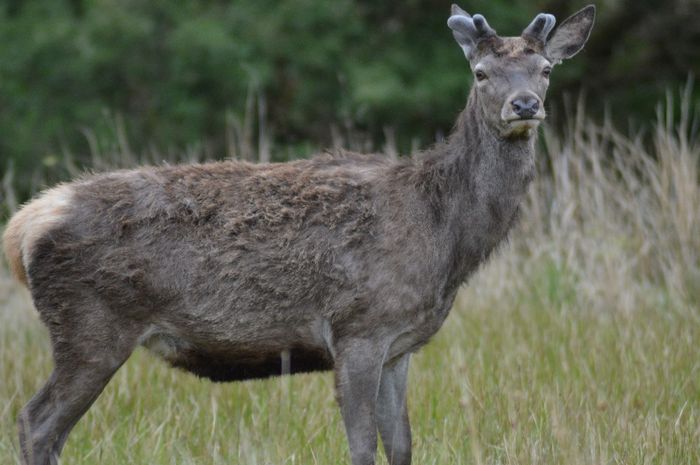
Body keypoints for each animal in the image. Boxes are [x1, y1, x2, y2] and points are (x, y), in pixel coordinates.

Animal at [3, 4, 594, 465]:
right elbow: (363, 447)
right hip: (91, 327)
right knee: (36, 422)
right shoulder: (357, 327)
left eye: (545, 69)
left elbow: (402, 445)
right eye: (480, 73)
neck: (445, 238)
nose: (524, 105)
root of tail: (24, 224)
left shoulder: (400, 345)